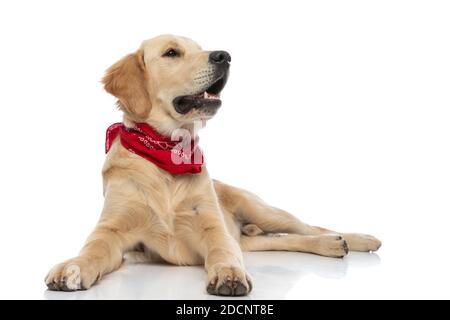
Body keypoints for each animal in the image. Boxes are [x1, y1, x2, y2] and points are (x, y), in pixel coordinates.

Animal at [45, 33, 382, 296]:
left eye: (199, 47)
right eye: (172, 52)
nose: (225, 56)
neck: (167, 154)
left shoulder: (213, 226)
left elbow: (222, 250)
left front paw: (229, 272)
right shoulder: (112, 230)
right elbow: (93, 249)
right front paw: (72, 267)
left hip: (261, 209)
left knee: (309, 227)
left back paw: (354, 239)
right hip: (251, 236)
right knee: (281, 239)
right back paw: (332, 245)